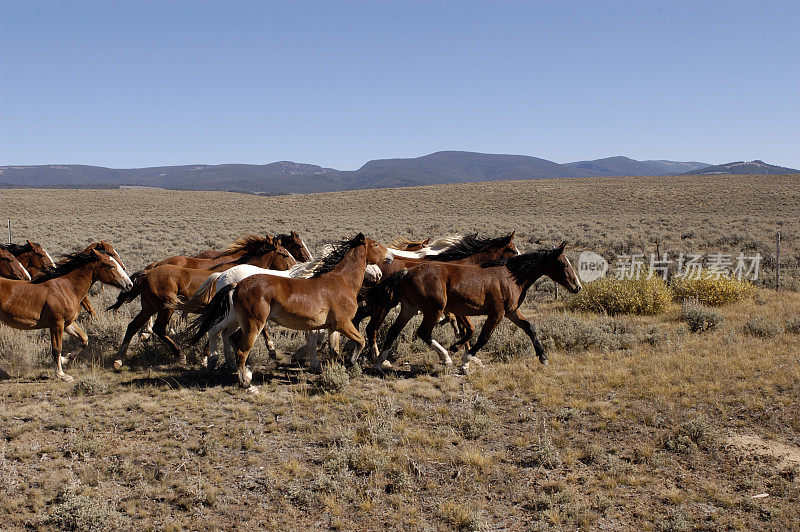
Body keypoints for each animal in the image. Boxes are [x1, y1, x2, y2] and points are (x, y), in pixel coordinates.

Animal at [0, 247, 131, 380]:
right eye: (111, 266)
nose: (129, 284)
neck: (66, 288)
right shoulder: (57, 324)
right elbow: (57, 349)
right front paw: (61, 374)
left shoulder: (68, 323)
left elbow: (84, 339)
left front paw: (65, 359)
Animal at [112, 239, 296, 364]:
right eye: (284, 253)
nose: (295, 268)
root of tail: (148, 272)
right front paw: (207, 357)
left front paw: (271, 350)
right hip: (165, 308)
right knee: (158, 328)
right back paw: (179, 354)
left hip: (149, 307)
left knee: (133, 326)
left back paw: (119, 359)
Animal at [376, 242, 580, 372]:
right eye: (564, 264)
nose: (577, 287)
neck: (511, 278)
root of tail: (407, 272)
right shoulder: (497, 314)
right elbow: (483, 338)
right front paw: (465, 362)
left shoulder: (512, 312)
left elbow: (530, 328)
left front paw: (543, 357)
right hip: (434, 309)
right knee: (423, 332)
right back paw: (446, 358)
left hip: (409, 309)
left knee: (393, 330)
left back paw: (379, 362)